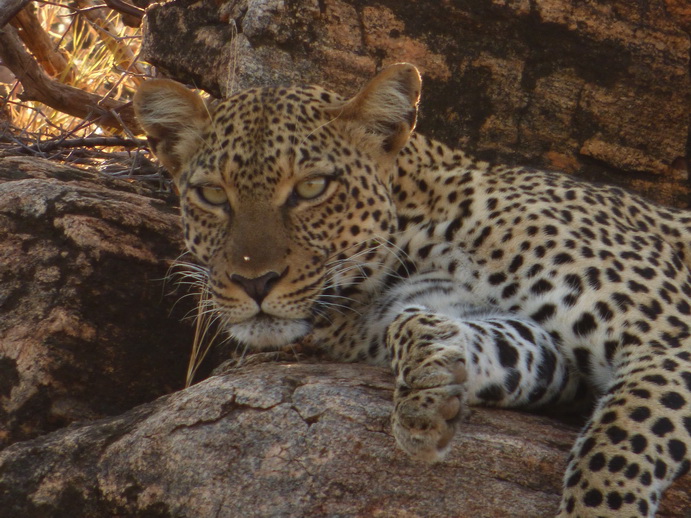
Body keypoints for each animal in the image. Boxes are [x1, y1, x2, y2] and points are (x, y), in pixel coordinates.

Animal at [131, 63, 691, 516]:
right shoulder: (547, 352)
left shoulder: (667, 338)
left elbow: (615, 452)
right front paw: (431, 389)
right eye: (212, 194)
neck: (414, 239)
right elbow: (441, 328)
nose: (254, 281)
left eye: (312, 187)